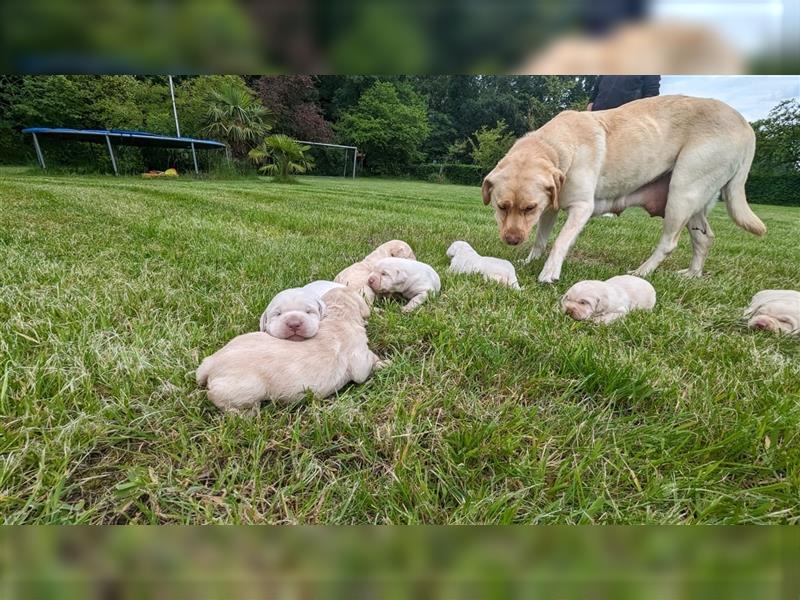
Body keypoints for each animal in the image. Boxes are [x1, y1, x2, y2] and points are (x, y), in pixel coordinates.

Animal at [197, 288, 384, 414]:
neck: (339, 316)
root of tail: (210, 363)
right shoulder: (359, 360)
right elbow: (366, 366)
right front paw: (383, 363)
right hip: (245, 389)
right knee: (216, 398)